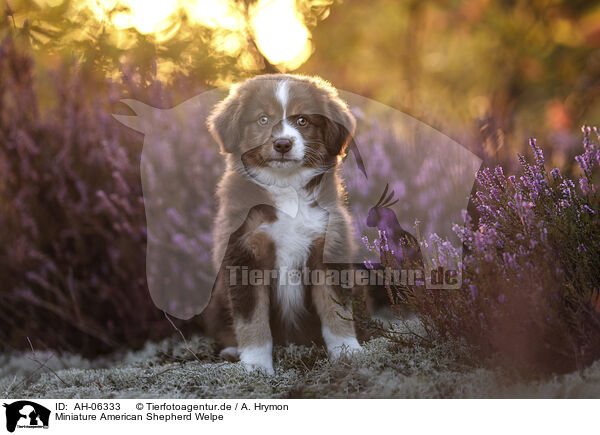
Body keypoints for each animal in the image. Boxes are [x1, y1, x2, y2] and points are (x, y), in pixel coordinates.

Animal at [202, 75, 360, 374]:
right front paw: (256, 365)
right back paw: (231, 350)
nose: (283, 144)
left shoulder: (329, 246)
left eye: (303, 120)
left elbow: (337, 309)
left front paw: (348, 351)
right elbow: (252, 319)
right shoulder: (244, 254)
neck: (287, 188)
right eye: (263, 119)